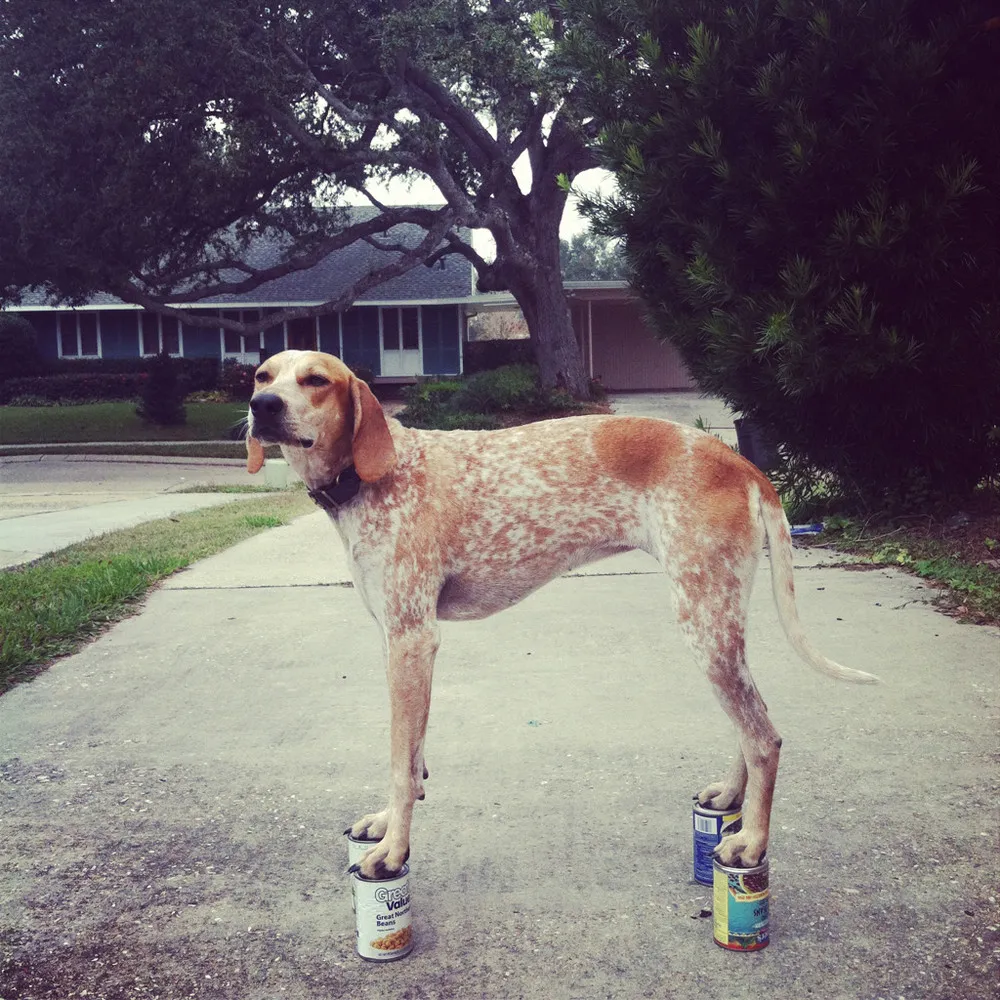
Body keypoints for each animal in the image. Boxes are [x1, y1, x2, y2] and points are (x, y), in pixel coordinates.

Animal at [244, 350, 876, 876]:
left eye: (316, 380)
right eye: (261, 375)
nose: (262, 407)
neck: (376, 475)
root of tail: (740, 462)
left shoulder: (412, 641)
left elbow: (402, 762)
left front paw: (395, 848)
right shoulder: (396, 642)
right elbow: (412, 753)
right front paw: (387, 822)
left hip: (704, 624)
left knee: (765, 737)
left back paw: (752, 844)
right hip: (718, 628)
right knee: (749, 726)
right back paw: (730, 796)